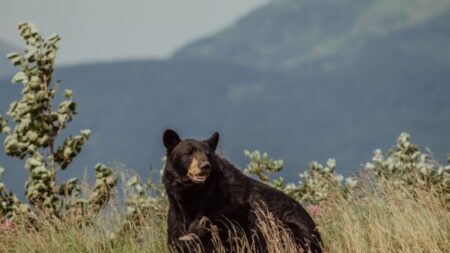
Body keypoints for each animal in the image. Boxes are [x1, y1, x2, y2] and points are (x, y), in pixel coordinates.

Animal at [163, 129, 322, 252]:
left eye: (208, 154)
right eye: (189, 153)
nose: (205, 166)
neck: (193, 196)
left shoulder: (225, 213)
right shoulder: (176, 217)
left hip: (286, 230)